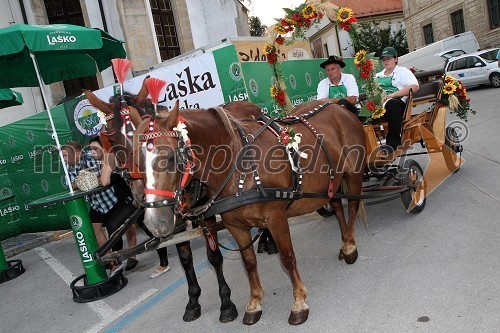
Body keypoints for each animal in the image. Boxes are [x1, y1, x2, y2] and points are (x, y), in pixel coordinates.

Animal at [133, 100, 368, 322]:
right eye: (137, 162)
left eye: (170, 158)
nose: (154, 222)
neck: (238, 165)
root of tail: (338, 106)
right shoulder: (235, 225)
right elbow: (249, 262)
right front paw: (255, 303)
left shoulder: (276, 218)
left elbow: (287, 258)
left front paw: (299, 303)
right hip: (329, 183)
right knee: (336, 206)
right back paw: (344, 242)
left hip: (353, 175)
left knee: (352, 206)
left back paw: (350, 247)